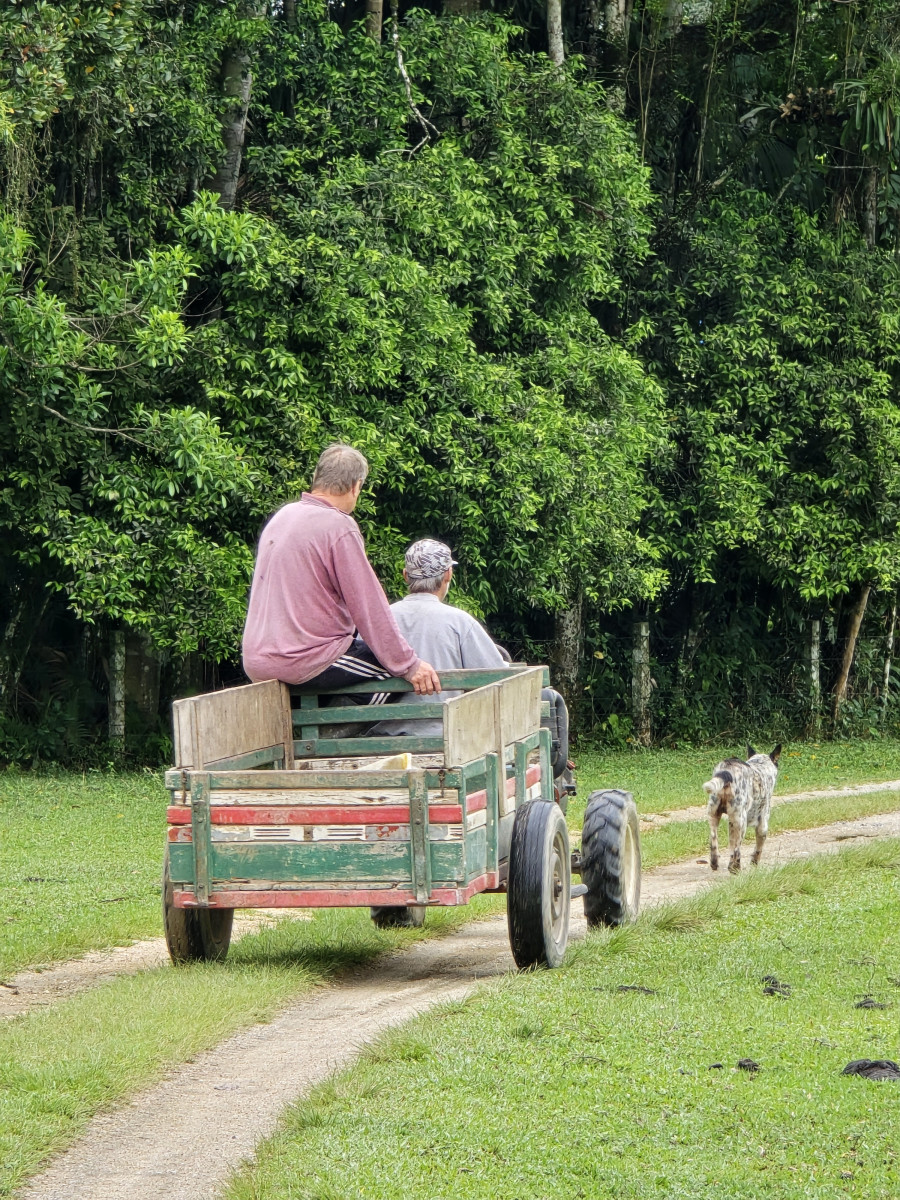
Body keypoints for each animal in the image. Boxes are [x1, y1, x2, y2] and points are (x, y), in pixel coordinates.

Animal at [705, 744, 782, 878]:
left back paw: (715, 863)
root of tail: (727, 769)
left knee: (714, 841)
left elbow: (731, 846)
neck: (760, 764)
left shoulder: (731, 824)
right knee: (737, 850)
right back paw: (735, 868)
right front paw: (754, 863)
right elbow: (758, 849)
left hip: (714, 815)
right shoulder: (762, 825)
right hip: (741, 822)